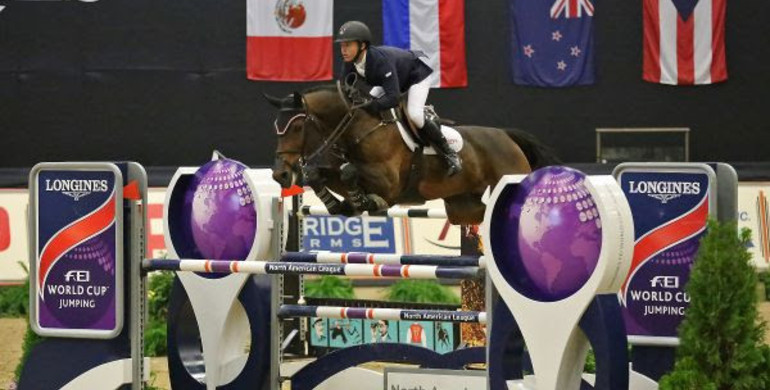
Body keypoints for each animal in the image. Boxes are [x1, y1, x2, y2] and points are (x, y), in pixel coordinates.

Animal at [264, 84, 552, 225]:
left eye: (297, 127)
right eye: (276, 127)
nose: (280, 175)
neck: (358, 129)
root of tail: (507, 137)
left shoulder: (389, 184)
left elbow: (350, 174)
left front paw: (367, 202)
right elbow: (320, 175)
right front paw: (341, 205)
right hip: (465, 207)